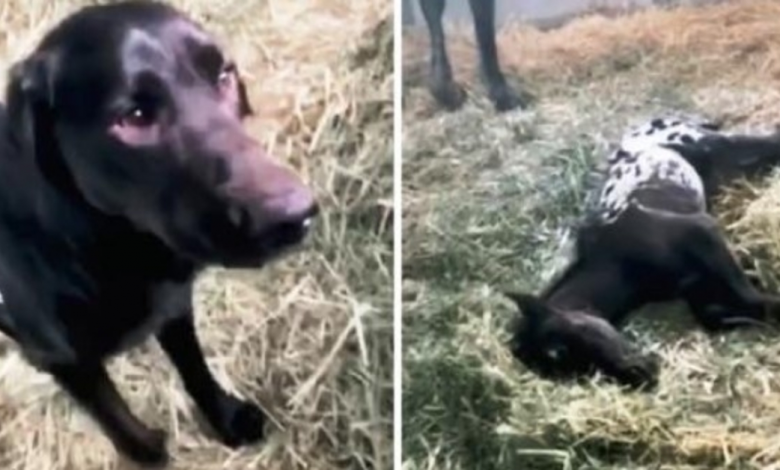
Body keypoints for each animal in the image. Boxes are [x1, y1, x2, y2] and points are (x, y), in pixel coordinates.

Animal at [0, 0, 316, 464]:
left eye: (224, 76)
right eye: (133, 118)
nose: (295, 215)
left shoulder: (173, 305)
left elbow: (195, 368)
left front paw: (225, 418)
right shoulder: (64, 361)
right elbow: (119, 421)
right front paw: (150, 453)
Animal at [508, 116, 780, 390]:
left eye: (561, 350)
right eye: (575, 378)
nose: (641, 377)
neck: (617, 262)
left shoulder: (701, 230)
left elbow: (747, 296)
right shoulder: (692, 286)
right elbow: (716, 312)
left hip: (709, 143)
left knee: (764, 142)